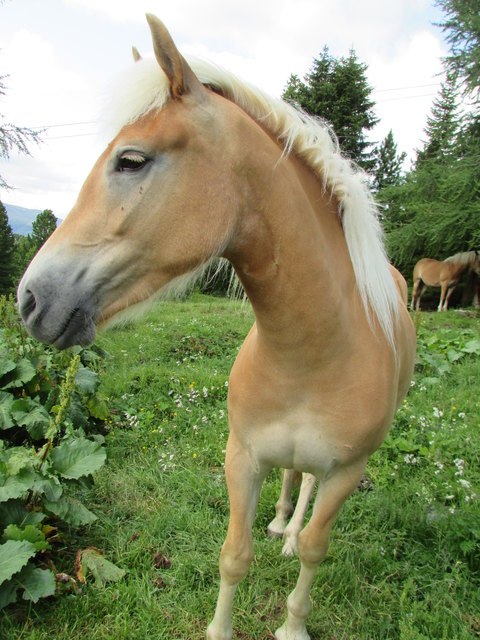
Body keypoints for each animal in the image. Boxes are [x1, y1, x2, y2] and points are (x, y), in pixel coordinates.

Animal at [17, 15, 416, 640]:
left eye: (131, 160)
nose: (31, 298)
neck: (313, 351)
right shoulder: (242, 457)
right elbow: (234, 555)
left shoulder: (348, 473)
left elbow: (315, 551)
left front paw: (293, 624)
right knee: (293, 480)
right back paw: (280, 525)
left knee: (307, 491)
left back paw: (291, 534)